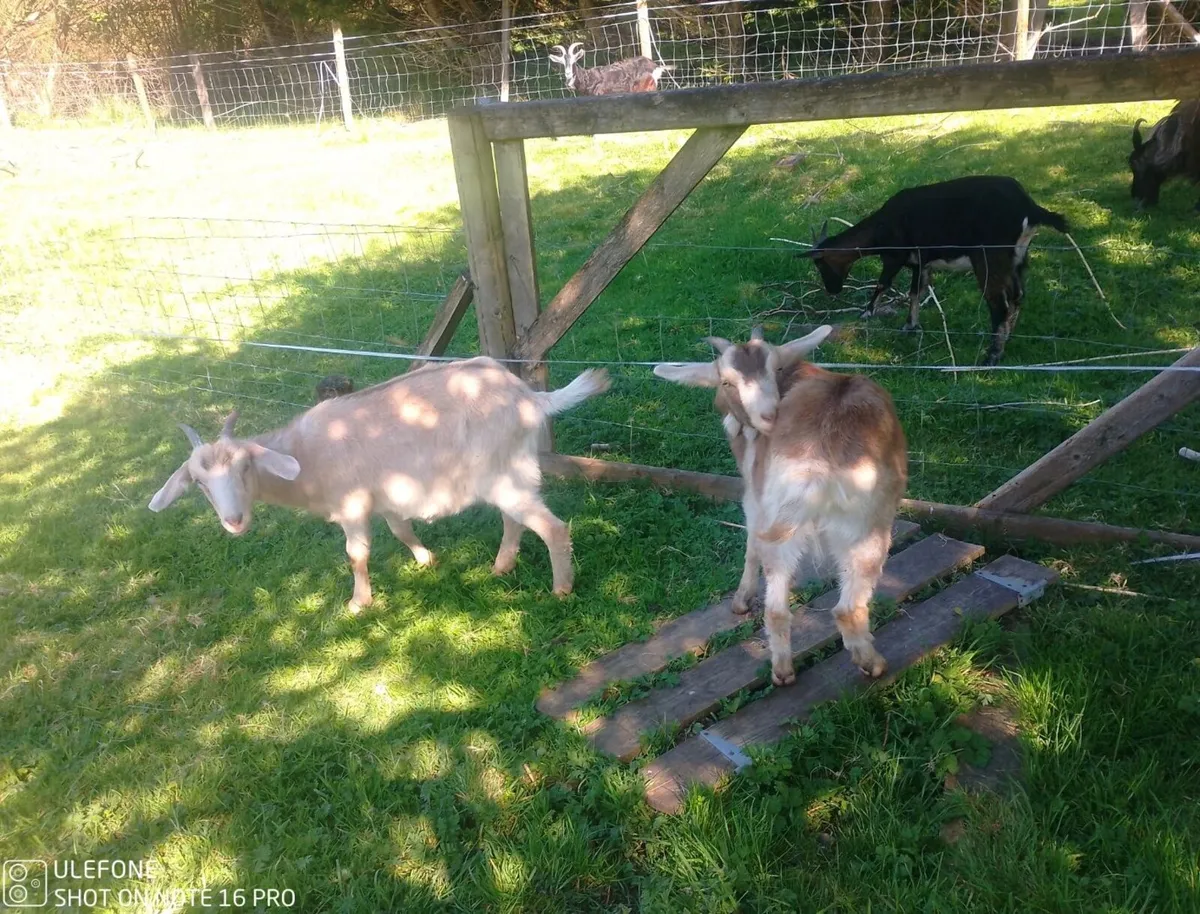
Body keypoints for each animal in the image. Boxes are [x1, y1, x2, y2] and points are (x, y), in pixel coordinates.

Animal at [148, 358, 610, 609]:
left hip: (506, 473)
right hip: (503, 473)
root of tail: (530, 397)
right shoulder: (387, 497)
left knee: (552, 527)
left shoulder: (351, 503)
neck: (306, 455)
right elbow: (401, 529)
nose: (234, 521)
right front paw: (426, 560)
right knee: (513, 519)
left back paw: (561, 589)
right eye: (199, 483)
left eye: (245, 466)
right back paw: (502, 566)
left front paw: (359, 602)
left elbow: (356, 553)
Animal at [654, 326, 908, 685]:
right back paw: (871, 663)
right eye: (726, 381)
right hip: (868, 522)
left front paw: (741, 600)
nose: (768, 415)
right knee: (846, 608)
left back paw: (783, 670)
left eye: (775, 368)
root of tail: (820, 453)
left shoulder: (755, 491)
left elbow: (750, 541)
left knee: (776, 603)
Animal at [807, 175, 1068, 365]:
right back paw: (1007, 337)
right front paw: (910, 325)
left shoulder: (894, 257)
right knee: (1017, 295)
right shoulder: (920, 262)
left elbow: (883, 284)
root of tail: (1030, 208)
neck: (881, 227)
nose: (832, 289)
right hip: (1018, 257)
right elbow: (915, 292)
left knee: (998, 304)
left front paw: (866, 313)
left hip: (989, 257)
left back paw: (992, 356)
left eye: (819, 263)